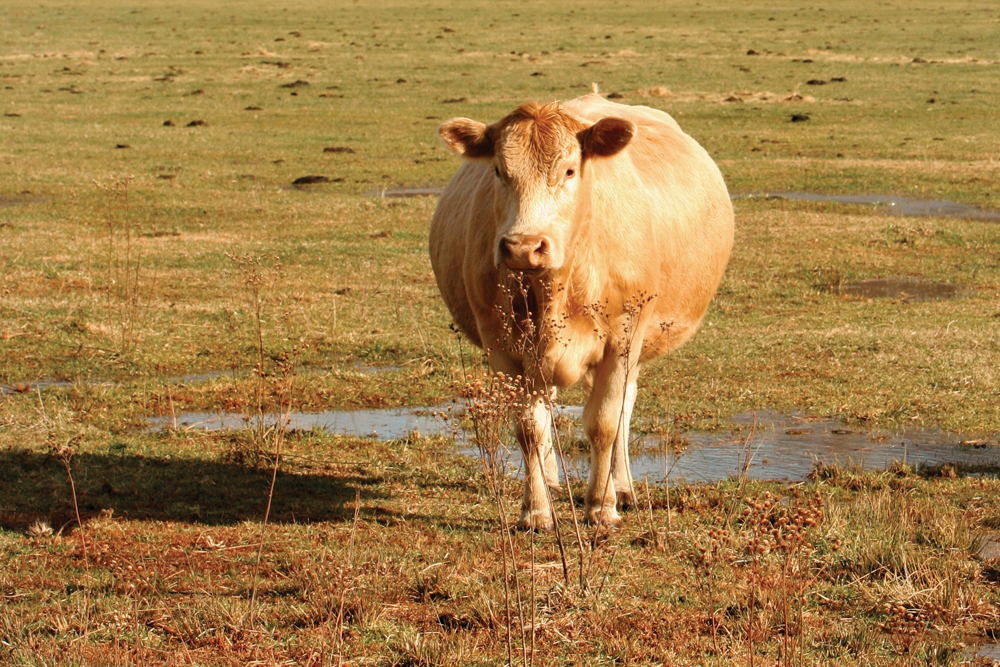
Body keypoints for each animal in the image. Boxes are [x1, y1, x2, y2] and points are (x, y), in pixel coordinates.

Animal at [430, 92, 734, 530]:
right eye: (499, 171)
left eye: (570, 170)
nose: (523, 246)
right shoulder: (503, 347)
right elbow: (530, 428)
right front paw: (536, 509)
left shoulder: (623, 340)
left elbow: (605, 423)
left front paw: (601, 504)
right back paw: (554, 482)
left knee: (624, 407)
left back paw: (622, 488)